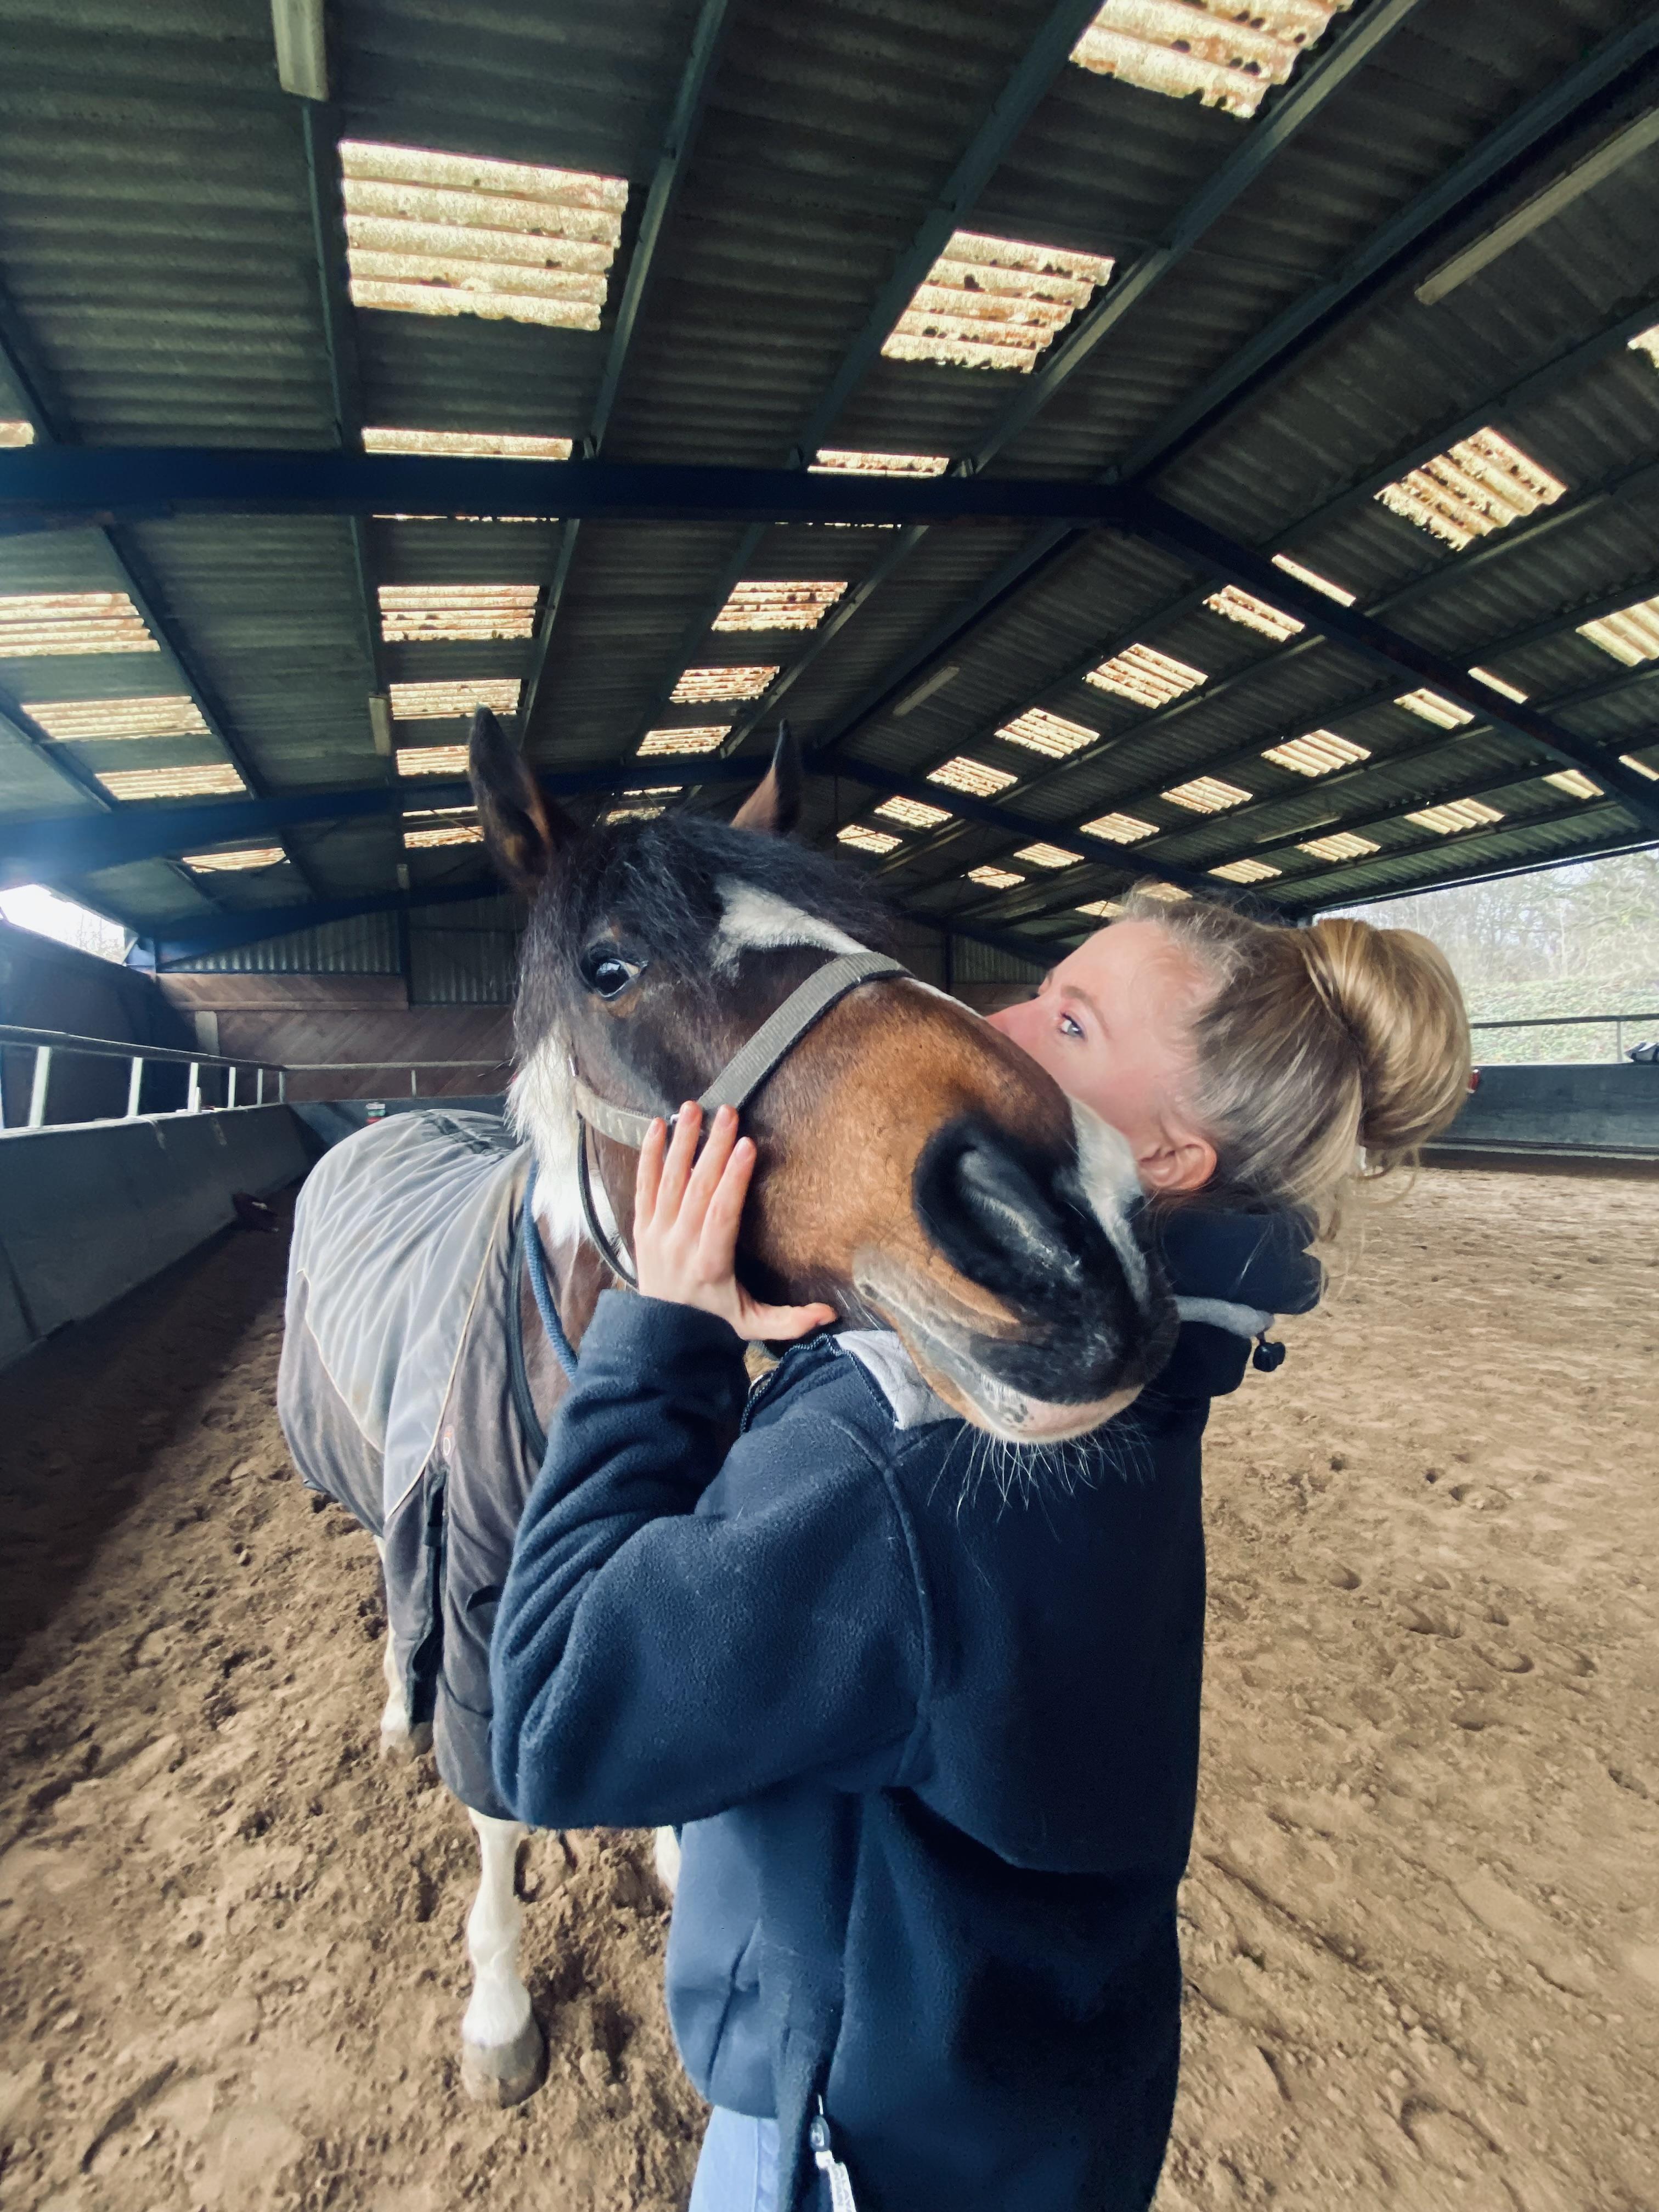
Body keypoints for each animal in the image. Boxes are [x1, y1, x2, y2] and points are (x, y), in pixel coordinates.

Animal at [277, 710, 1175, 2105]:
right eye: (611, 969)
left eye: (862, 925)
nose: (1070, 1232)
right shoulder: (480, 1610)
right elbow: (495, 1819)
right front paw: (498, 2012)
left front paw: (673, 1860)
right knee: (388, 1574)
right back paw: (390, 1710)